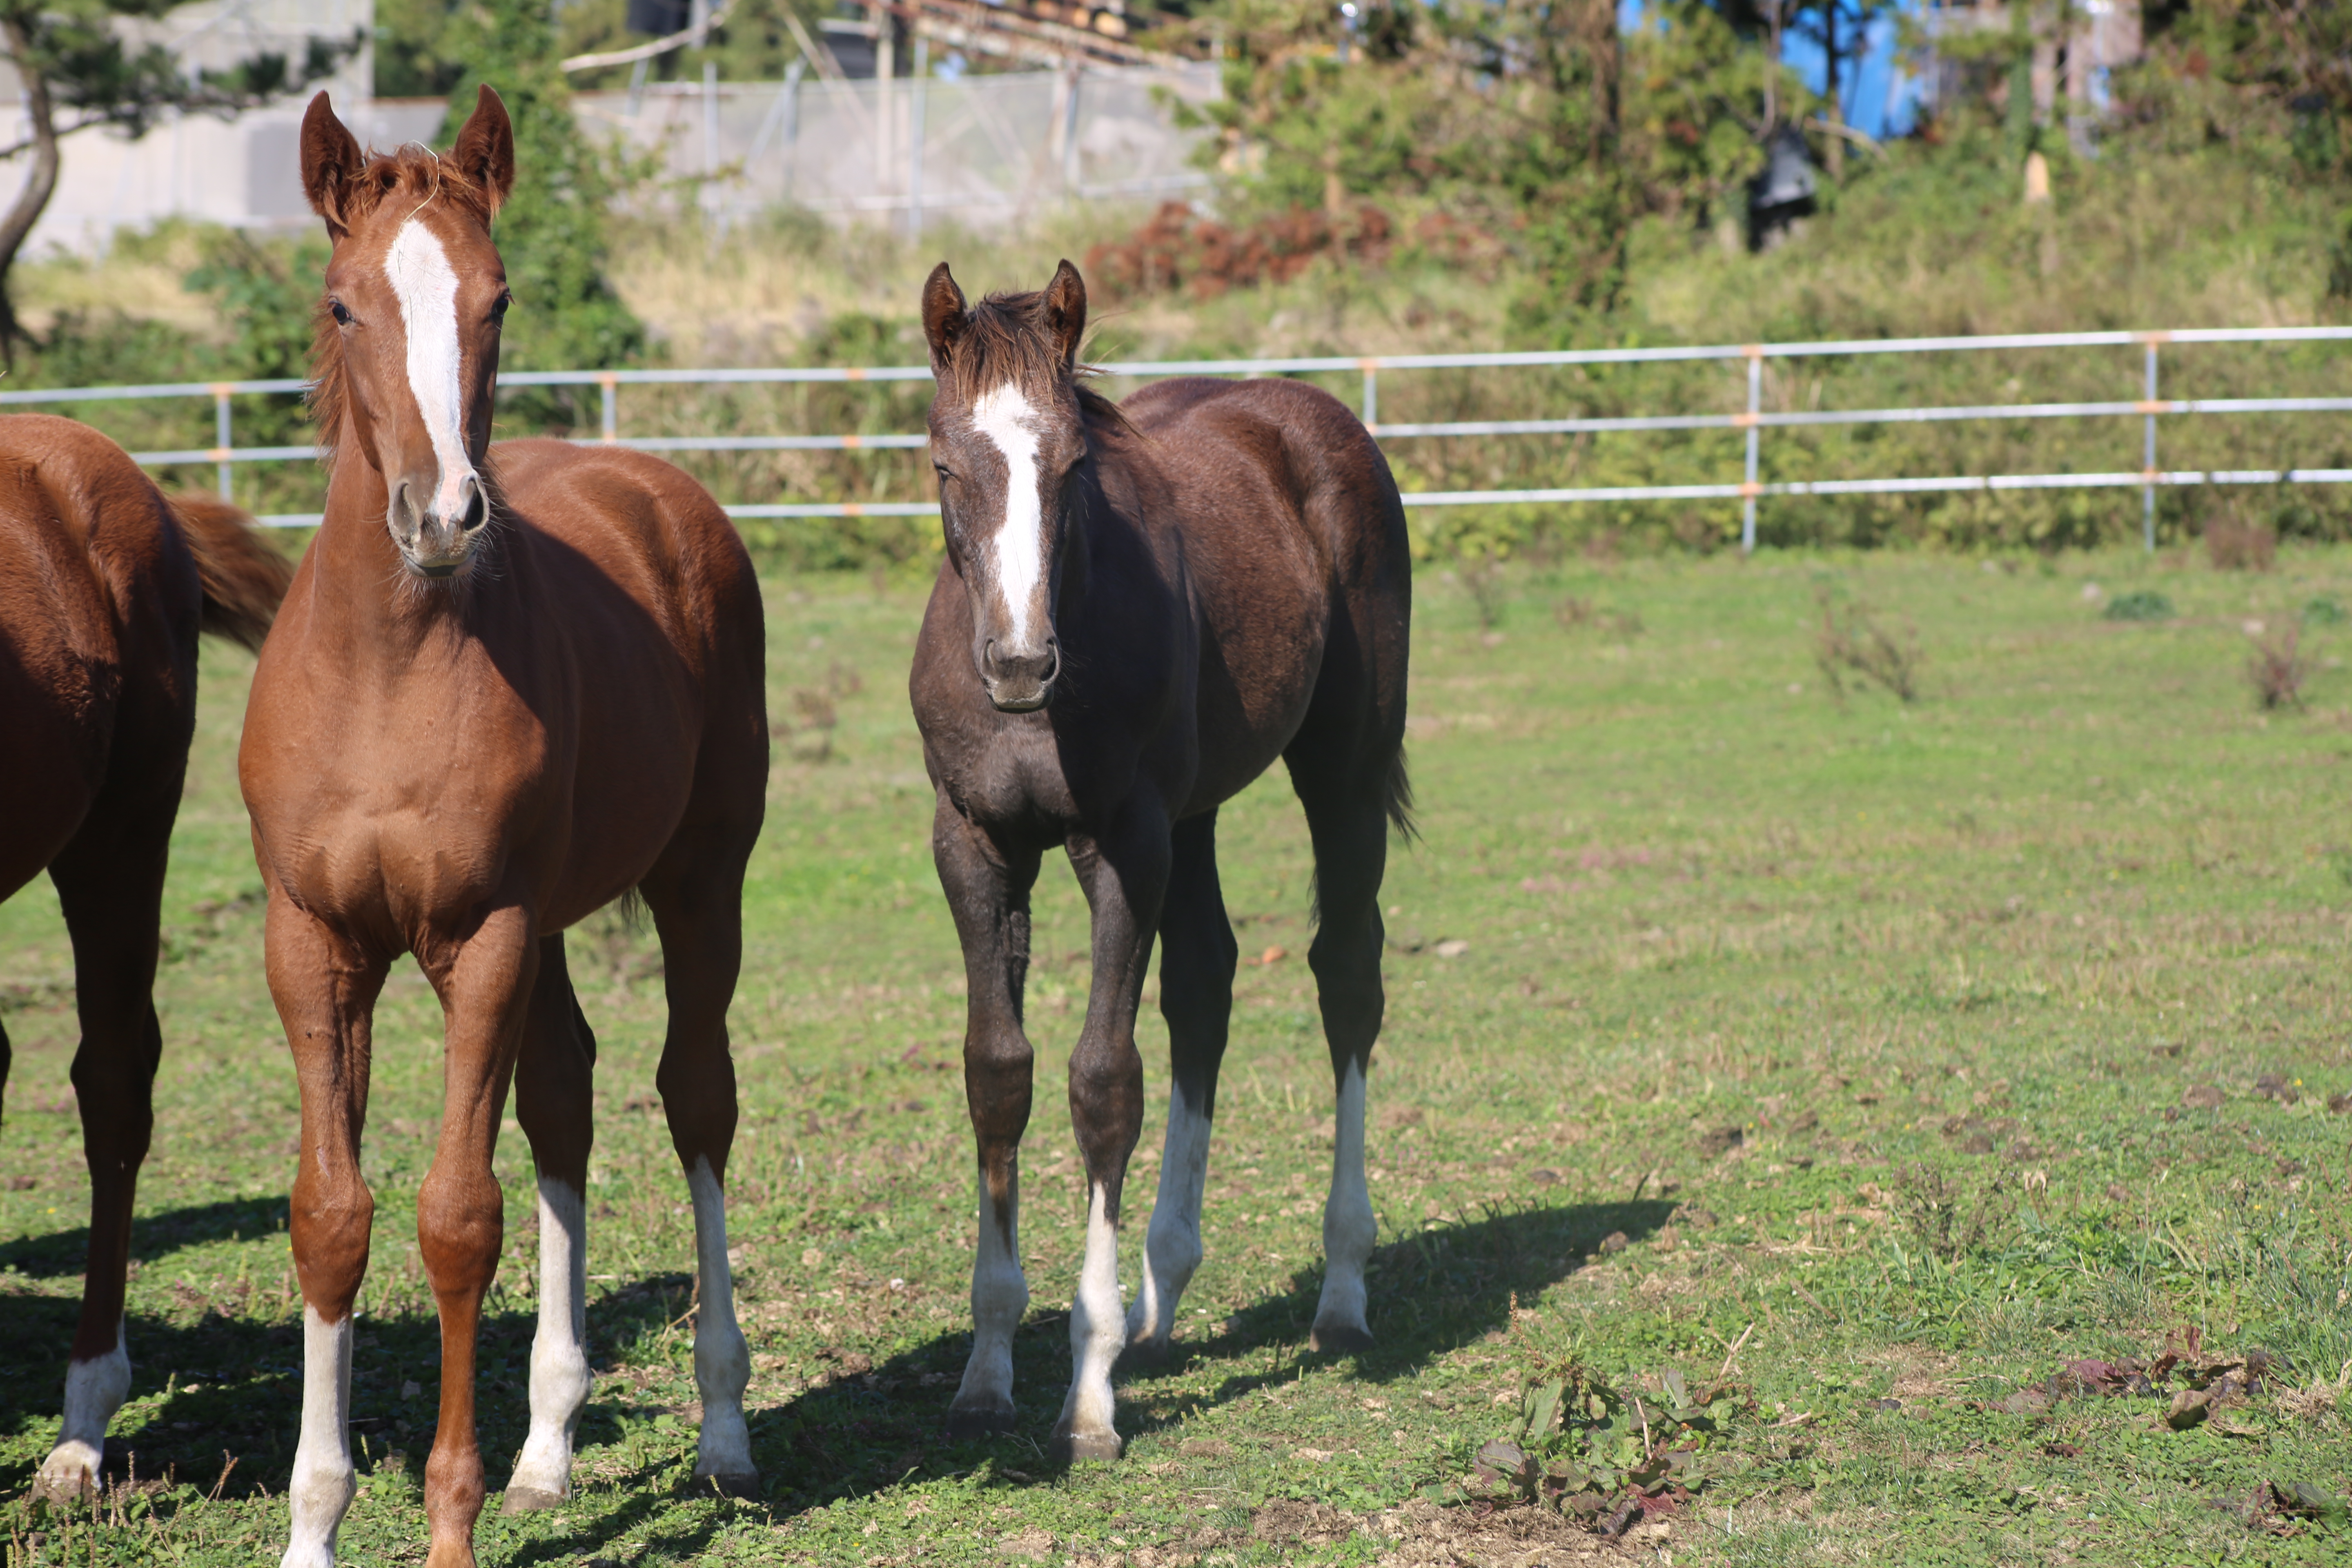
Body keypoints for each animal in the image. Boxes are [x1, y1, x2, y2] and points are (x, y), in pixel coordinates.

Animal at [243, 89, 766, 1568]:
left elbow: (457, 1218)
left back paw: (722, 1430)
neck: (386, 671)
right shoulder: (313, 944)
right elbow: (332, 1216)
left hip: (698, 885)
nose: (441, 518)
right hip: (549, 930)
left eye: (498, 298)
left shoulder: (481, 938)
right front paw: (315, 1524)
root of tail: (663, 490)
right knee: (568, 1096)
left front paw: (449, 1525)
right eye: (346, 302)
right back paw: (548, 1450)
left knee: (695, 1098)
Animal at [908, 263, 1401, 1467]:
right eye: (945, 463)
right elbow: (998, 1072)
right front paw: (987, 1373)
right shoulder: (974, 846)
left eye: (1073, 468)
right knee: (1206, 983)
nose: (1020, 663)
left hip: (1342, 772)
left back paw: (1341, 1290)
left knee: (1346, 975)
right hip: (1199, 812)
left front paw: (1086, 1398)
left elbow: (1102, 1080)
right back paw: (1159, 1300)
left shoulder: (1123, 843)